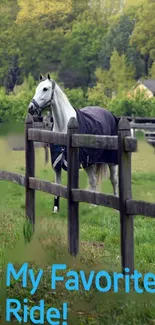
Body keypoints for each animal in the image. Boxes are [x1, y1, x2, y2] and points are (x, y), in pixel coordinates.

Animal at [28, 73, 118, 211]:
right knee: (93, 180)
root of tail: (110, 114)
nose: (31, 108)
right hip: (90, 162)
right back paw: (93, 205)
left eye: (45, 89)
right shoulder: (57, 163)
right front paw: (55, 208)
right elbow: (57, 184)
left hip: (110, 160)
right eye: (37, 88)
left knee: (113, 179)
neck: (63, 126)